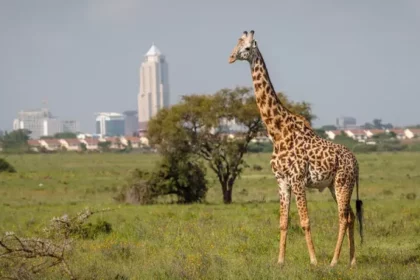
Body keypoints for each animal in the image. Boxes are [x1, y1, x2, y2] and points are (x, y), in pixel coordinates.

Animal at [228, 30, 362, 266]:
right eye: (237, 44)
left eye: (247, 48)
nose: (231, 57)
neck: (278, 132)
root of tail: (356, 162)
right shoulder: (281, 180)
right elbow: (283, 222)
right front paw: (280, 261)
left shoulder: (298, 179)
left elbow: (305, 221)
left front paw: (314, 261)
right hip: (333, 185)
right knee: (350, 216)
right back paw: (352, 261)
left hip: (342, 182)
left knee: (343, 218)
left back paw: (333, 262)